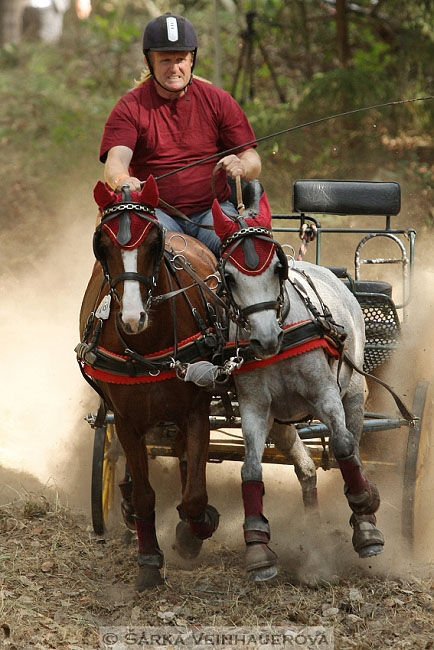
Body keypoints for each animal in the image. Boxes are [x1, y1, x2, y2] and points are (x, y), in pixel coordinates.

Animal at [77, 176, 220, 590]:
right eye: (102, 245)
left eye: (154, 243)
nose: (132, 317)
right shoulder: (126, 419)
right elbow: (144, 495)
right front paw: (149, 561)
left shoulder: (196, 409)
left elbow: (194, 493)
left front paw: (195, 528)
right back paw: (124, 501)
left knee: (187, 460)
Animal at [210, 190, 385, 582]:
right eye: (229, 277)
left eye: (277, 268)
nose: (265, 339)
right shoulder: (255, 407)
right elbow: (250, 469)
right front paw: (258, 547)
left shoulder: (325, 394)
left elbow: (343, 446)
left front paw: (364, 503)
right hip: (282, 422)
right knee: (305, 469)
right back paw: (313, 527)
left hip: (353, 393)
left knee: (352, 444)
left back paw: (365, 523)